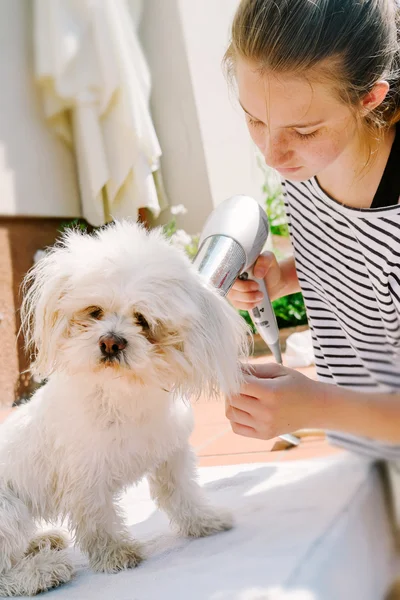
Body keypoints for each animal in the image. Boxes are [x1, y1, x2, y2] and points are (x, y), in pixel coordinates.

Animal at [0, 221, 248, 596]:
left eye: (143, 320)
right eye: (95, 312)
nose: (111, 342)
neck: (123, 393)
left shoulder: (171, 454)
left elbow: (181, 494)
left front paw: (205, 522)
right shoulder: (85, 479)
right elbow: (99, 521)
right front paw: (116, 555)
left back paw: (41, 542)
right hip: (8, 509)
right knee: (3, 573)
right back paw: (41, 571)